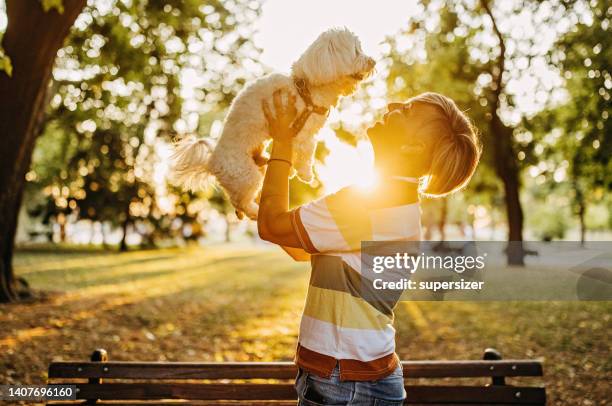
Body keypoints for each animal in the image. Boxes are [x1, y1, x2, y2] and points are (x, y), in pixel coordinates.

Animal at [170, 27, 376, 219]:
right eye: (356, 50)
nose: (373, 61)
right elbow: (306, 153)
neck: (305, 87)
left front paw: (293, 171)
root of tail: (212, 160)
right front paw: (305, 174)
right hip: (245, 175)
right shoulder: (302, 133)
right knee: (240, 201)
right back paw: (254, 211)